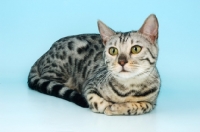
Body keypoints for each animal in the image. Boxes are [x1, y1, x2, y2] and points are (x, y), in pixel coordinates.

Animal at [27, 14, 161, 115]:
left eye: (136, 49)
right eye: (113, 51)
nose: (121, 62)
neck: (128, 89)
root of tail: (45, 53)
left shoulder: (152, 103)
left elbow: (140, 106)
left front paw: (118, 107)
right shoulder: (89, 85)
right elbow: (96, 101)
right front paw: (108, 107)